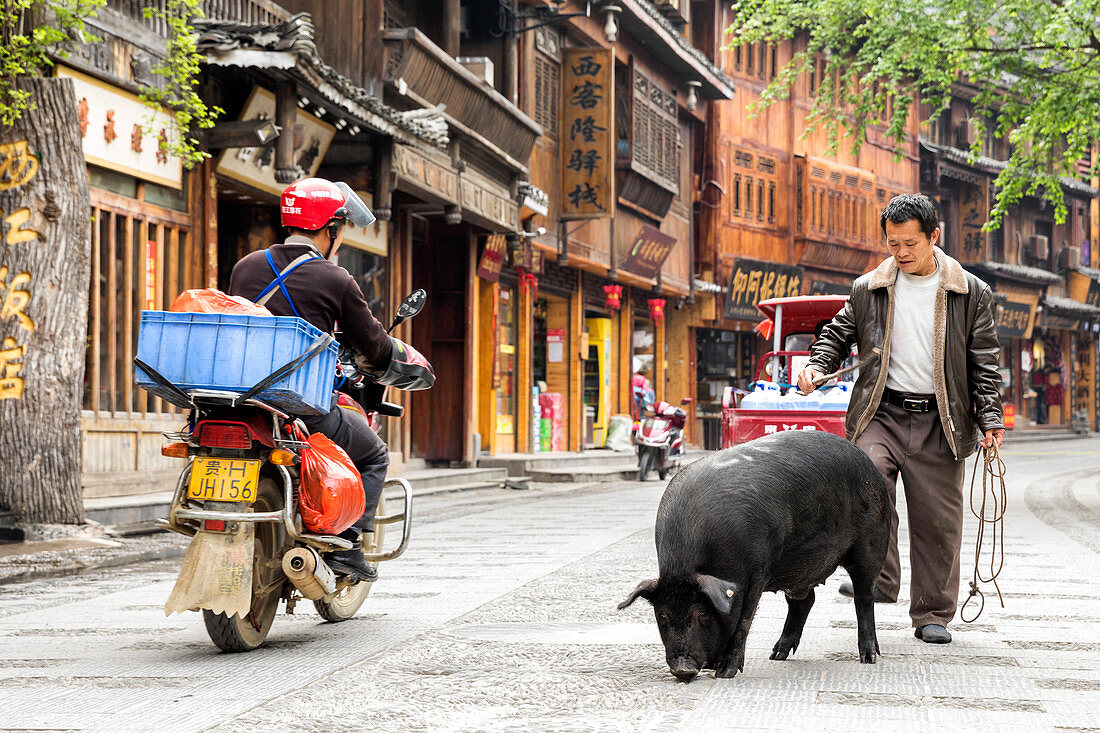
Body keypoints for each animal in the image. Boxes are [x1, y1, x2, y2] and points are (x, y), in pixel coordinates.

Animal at [616, 429, 888, 677]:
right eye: (662, 615)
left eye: (701, 612)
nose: (683, 669)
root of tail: (865, 459)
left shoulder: (758, 569)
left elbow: (744, 619)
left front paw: (725, 672)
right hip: (797, 568)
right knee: (804, 601)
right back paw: (776, 655)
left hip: (871, 543)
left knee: (864, 596)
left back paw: (869, 658)